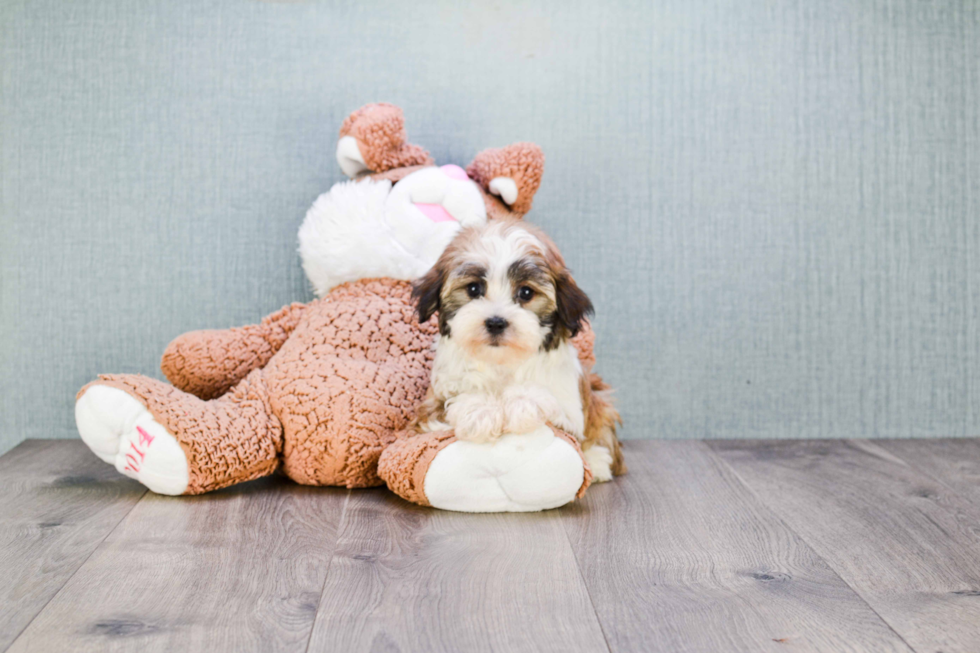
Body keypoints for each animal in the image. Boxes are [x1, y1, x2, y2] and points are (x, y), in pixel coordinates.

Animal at [410, 219, 624, 478]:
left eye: (526, 292)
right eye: (473, 289)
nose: (496, 322)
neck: (502, 361)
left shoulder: (571, 417)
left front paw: (521, 402)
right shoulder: (429, 409)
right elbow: (451, 403)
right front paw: (480, 410)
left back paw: (598, 461)